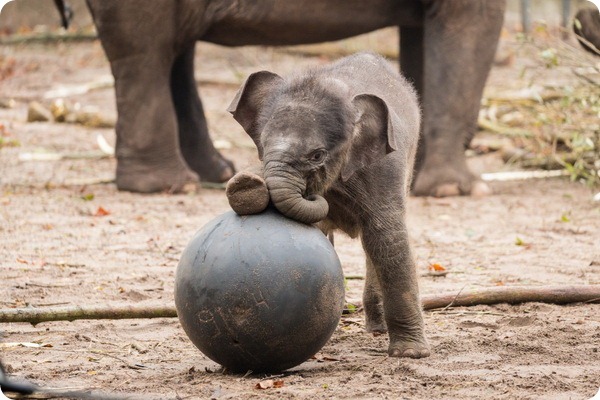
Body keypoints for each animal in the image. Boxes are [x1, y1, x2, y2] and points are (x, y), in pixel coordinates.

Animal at [227, 51, 428, 358]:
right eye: (262, 143)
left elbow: (387, 239)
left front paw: (410, 354)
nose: (247, 182)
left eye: (317, 155)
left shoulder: (384, 168)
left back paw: (378, 330)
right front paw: (245, 188)